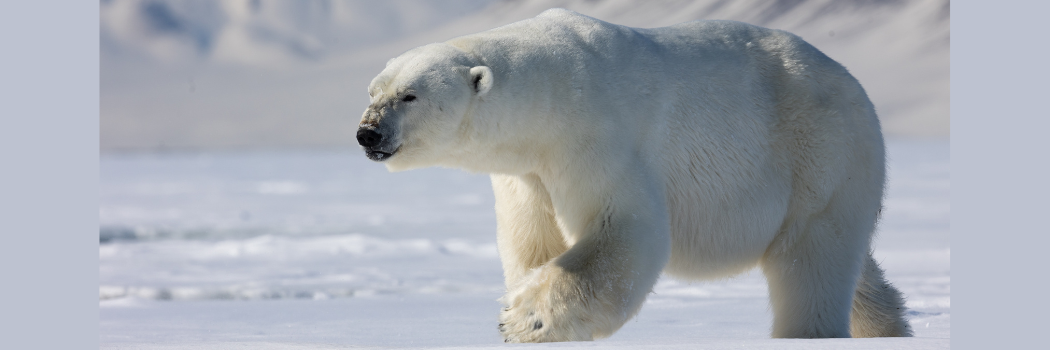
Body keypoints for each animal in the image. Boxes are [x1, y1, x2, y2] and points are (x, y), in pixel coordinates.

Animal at [354, 7, 911, 340]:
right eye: (374, 91)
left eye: (410, 95)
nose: (367, 133)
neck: (550, 88)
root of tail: (853, 86)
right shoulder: (527, 172)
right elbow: (532, 236)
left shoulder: (594, 136)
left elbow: (625, 233)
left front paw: (523, 318)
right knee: (855, 269)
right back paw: (889, 327)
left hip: (821, 156)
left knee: (811, 263)